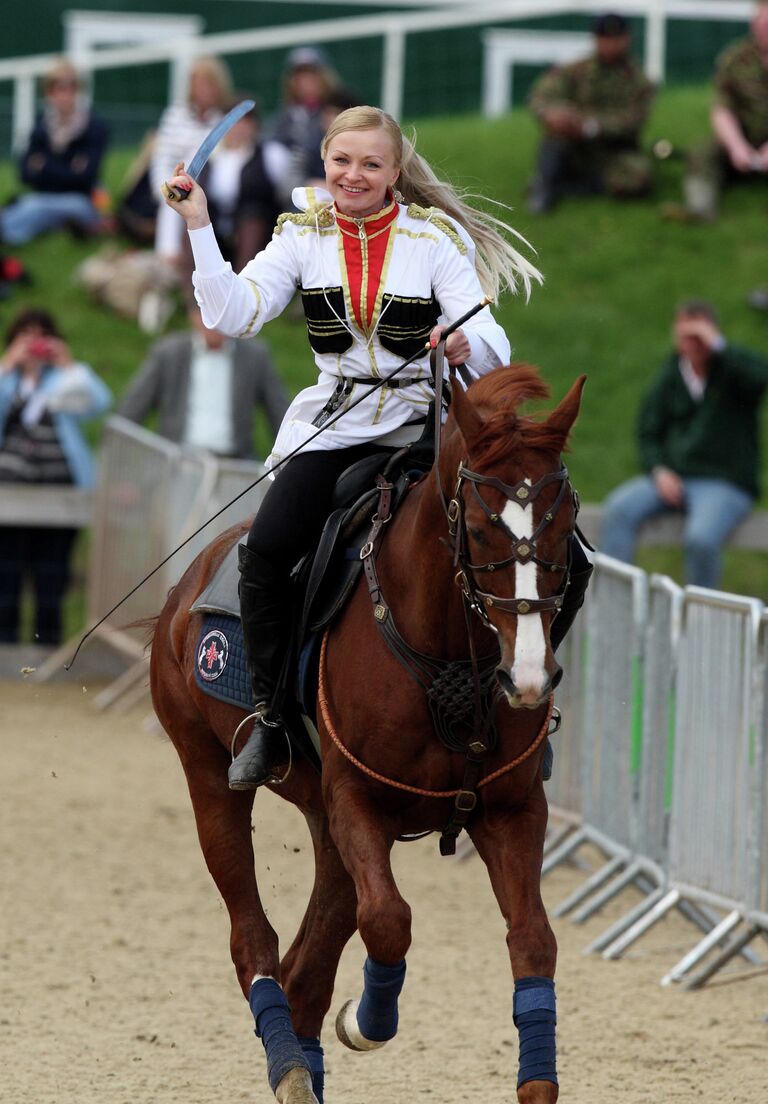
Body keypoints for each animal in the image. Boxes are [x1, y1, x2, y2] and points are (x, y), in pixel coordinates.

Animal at [148, 366, 582, 1099]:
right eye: (482, 528)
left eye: (568, 525)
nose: (527, 676)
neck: (451, 658)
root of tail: (186, 589)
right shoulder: (359, 801)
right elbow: (389, 921)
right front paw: (367, 1021)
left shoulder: (510, 810)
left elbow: (533, 941)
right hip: (210, 776)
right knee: (256, 945)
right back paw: (292, 1070)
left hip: (325, 824)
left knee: (306, 971)